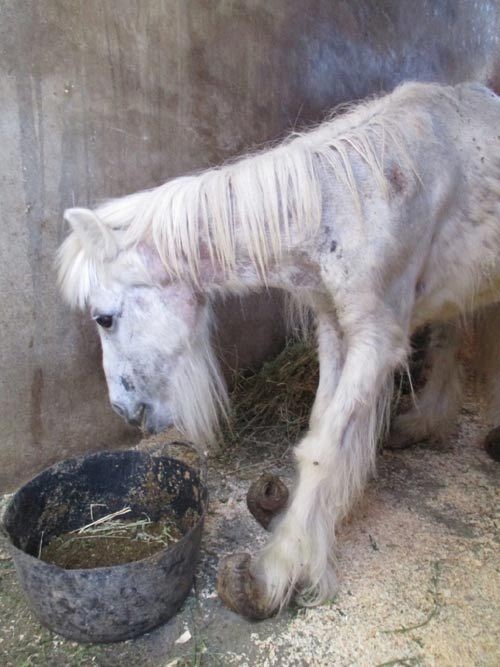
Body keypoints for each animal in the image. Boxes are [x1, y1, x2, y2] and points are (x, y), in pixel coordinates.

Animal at [58, 81, 500, 620]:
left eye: (104, 317)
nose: (123, 409)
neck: (355, 199)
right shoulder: (335, 332)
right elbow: (322, 428)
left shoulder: (376, 342)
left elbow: (323, 451)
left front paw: (275, 574)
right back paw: (424, 424)